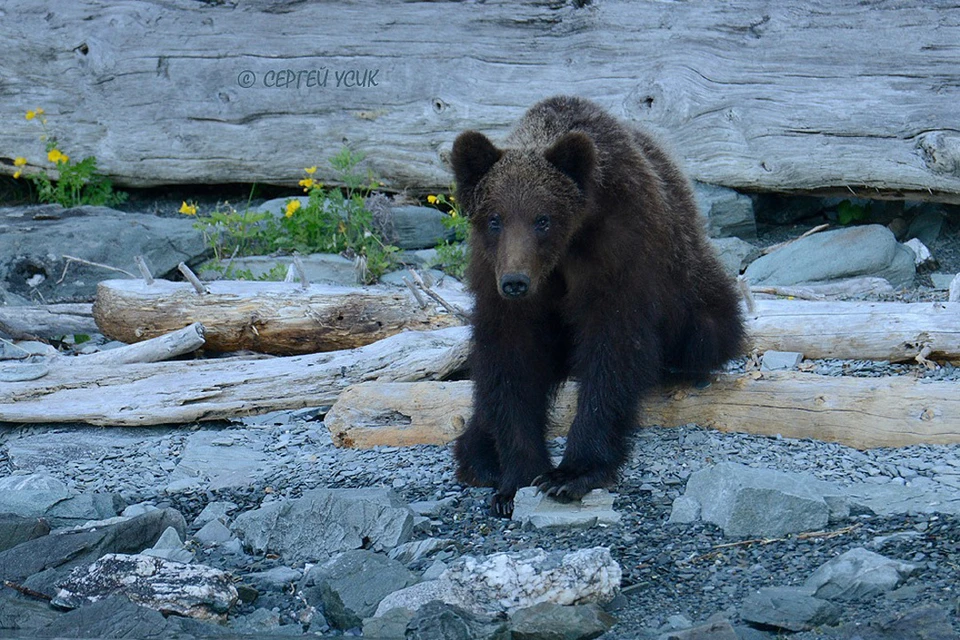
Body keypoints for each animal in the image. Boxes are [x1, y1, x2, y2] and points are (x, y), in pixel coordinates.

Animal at [450, 95, 744, 516]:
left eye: (543, 219)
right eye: (495, 218)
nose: (516, 282)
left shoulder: (620, 250)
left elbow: (612, 348)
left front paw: (571, 474)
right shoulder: (495, 276)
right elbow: (510, 360)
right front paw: (516, 476)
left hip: (693, 291)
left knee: (705, 334)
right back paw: (479, 454)